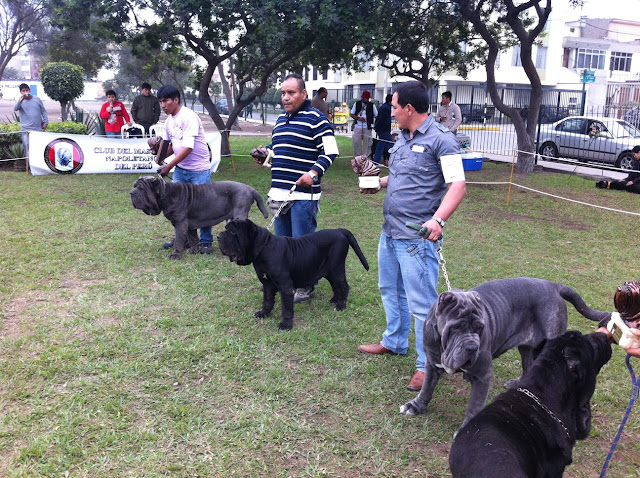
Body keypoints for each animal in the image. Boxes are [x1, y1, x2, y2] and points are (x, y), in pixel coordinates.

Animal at [130, 175, 270, 258]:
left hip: (239, 214)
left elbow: (179, 240)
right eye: (134, 186)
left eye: (141, 189)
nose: (131, 192)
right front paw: (194, 251)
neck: (166, 194)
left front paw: (176, 255)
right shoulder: (188, 225)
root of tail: (250, 189)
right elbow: (193, 238)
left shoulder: (180, 223)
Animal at [219, 219, 370, 328]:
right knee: (336, 286)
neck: (263, 248)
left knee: (344, 286)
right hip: (329, 271)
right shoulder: (267, 284)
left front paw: (286, 325)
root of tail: (340, 231)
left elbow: (286, 307)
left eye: (233, 232)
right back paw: (334, 300)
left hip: (336, 269)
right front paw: (263, 313)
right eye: (226, 229)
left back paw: (341, 305)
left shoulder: (285, 287)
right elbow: (267, 301)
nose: (219, 236)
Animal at [400, 274, 608, 432]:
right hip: (527, 348)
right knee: (528, 367)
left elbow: (474, 405)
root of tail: (554, 286)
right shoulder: (432, 363)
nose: (472, 347)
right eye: (456, 327)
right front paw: (416, 406)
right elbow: (427, 387)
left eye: (480, 327)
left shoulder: (483, 375)